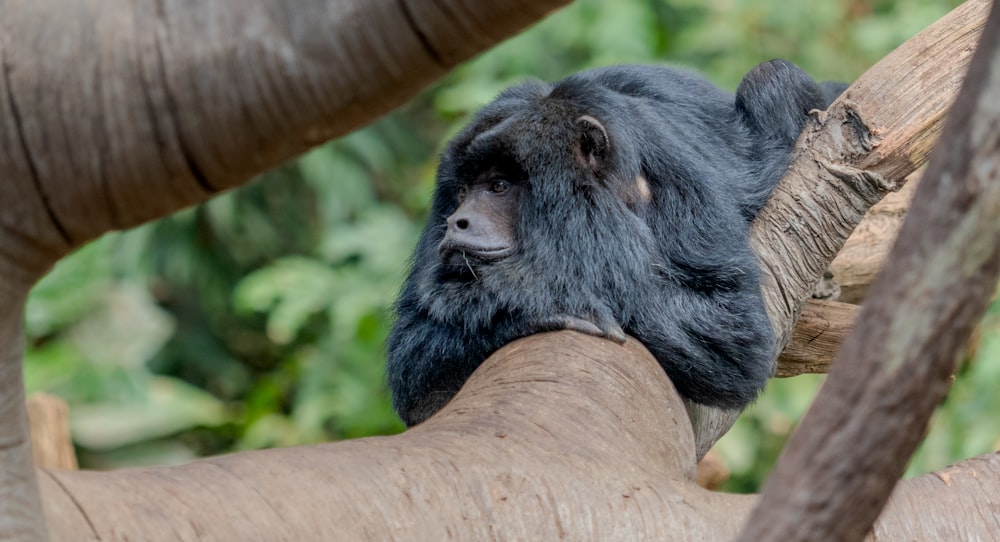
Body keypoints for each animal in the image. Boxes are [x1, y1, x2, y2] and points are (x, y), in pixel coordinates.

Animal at [386, 60, 832, 430]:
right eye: (463, 191)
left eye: (499, 185)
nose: (456, 222)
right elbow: (414, 362)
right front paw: (537, 306)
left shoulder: (676, 177)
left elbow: (736, 335)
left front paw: (538, 295)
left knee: (771, 77)